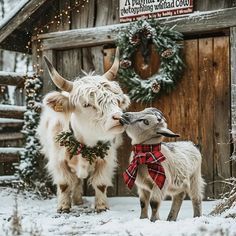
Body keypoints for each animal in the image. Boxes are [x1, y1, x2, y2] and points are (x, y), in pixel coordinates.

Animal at [37, 50, 130, 214]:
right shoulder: (58, 161)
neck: (85, 142)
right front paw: (63, 206)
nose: (120, 118)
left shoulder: (106, 160)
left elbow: (100, 184)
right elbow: (64, 184)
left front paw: (102, 206)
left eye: (116, 100)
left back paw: (78, 200)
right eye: (86, 104)